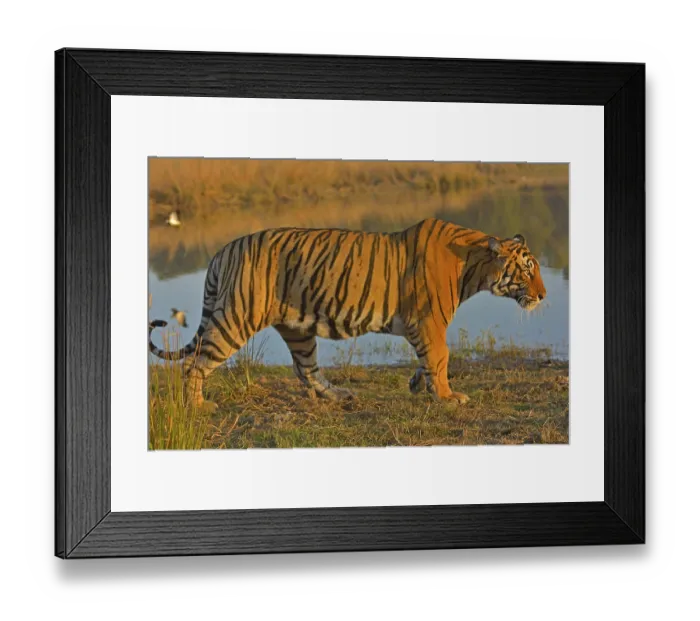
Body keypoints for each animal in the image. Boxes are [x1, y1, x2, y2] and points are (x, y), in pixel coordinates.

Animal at [149, 218, 547, 409]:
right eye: (528, 270)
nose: (543, 295)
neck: (475, 264)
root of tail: (223, 249)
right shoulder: (430, 320)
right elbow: (441, 357)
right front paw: (448, 397)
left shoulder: (424, 326)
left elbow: (430, 359)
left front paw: (419, 384)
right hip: (236, 317)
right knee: (194, 363)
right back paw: (198, 406)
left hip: (297, 329)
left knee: (306, 370)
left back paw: (340, 396)